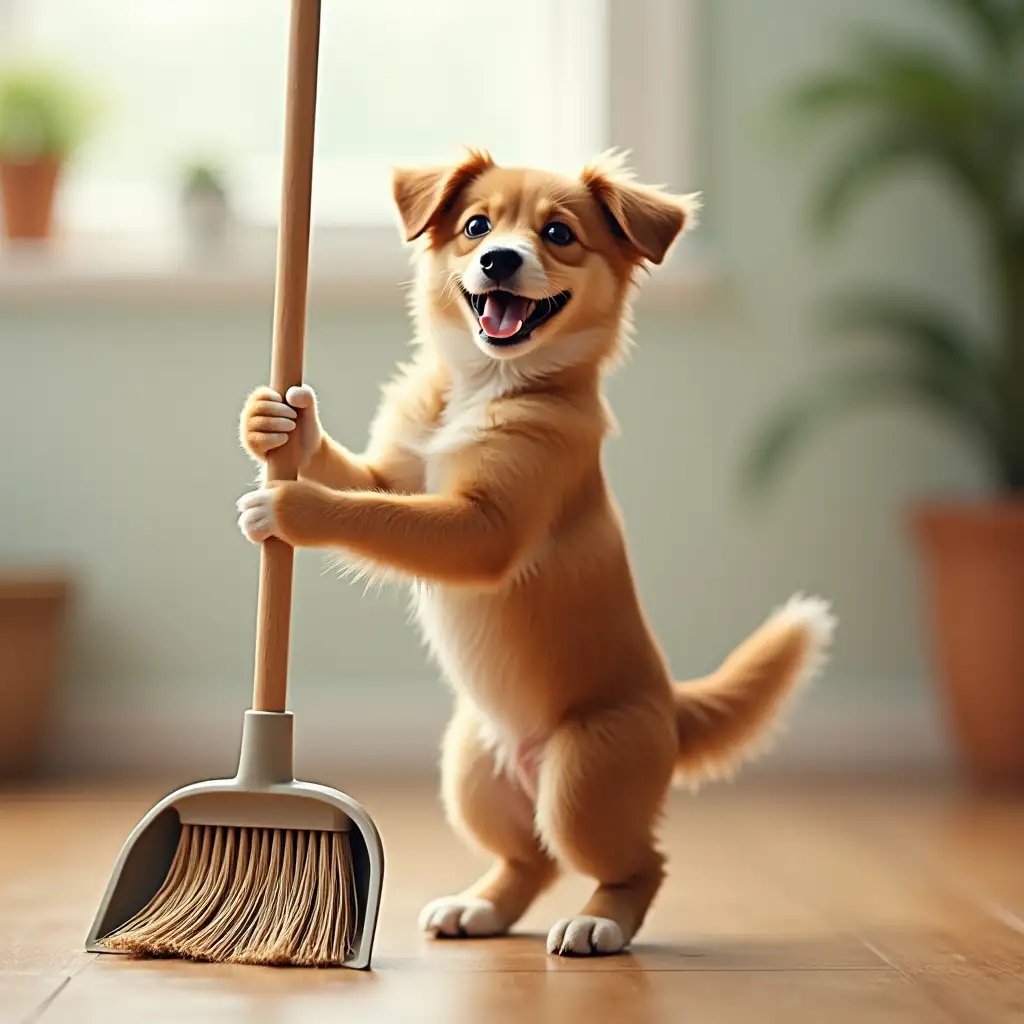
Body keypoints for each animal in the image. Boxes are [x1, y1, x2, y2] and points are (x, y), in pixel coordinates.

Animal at [235, 151, 835, 958]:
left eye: (558, 233)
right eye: (476, 225)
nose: (499, 259)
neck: (484, 386)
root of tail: (673, 710)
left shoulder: (484, 527)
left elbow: (378, 517)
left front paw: (294, 506)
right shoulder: (401, 471)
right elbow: (369, 481)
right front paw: (282, 427)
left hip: (586, 778)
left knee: (637, 861)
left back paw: (600, 923)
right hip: (471, 774)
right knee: (531, 858)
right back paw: (479, 907)